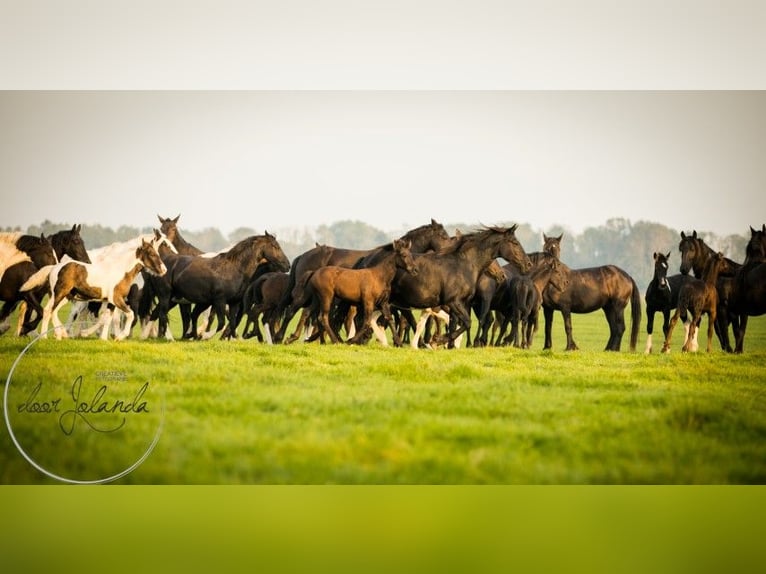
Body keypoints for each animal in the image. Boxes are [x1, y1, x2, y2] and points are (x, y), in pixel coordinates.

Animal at [37, 239, 167, 340]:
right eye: (151, 253)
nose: (164, 270)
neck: (121, 271)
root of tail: (55, 268)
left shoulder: (111, 302)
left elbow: (106, 318)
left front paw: (102, 338)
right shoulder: (116, 299)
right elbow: (130, 315)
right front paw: (120, 337)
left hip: (65, 296)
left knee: (50, 310)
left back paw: (54, 335)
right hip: (60, 294)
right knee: (51, 310)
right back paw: (54, 335)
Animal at [273, 219, 453, 344]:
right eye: (443, 236)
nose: (450, 250)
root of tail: (302, 256)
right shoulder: (394, 302)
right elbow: (407, 320)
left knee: (309, 314)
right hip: (309, 295)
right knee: (298, 312)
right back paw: (284, 337)